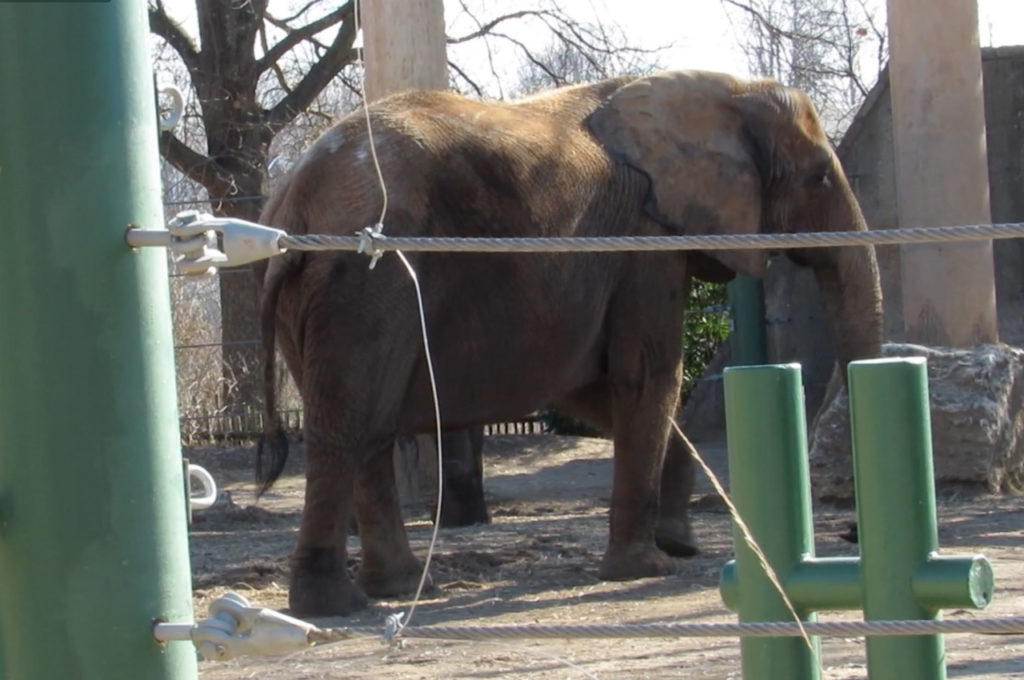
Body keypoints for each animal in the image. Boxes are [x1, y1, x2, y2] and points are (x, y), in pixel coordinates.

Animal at [254, 70, 883, 617]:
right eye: (818, 177)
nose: (852, 531)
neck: (723, 87)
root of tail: (295, 199)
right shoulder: (645, 239)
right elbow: (647, 374)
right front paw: (648, 568)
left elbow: (596, 391)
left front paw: (678, 544)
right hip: (368, 277)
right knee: (349, 427)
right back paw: (335, 606)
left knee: (370, 428)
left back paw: (404, 588)